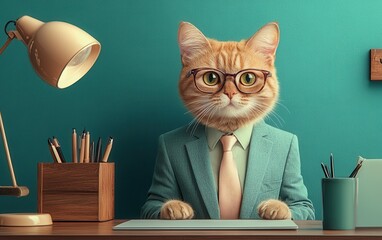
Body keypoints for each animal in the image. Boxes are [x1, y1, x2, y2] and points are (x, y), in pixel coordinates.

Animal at [142, 21, 314, 220]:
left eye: (248, 78)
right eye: (211, 78)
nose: (230, 93)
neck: (229, 132)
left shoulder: (301, 201)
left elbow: (300, 203)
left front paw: (276, 208)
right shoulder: (154, 198)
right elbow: (156, 201)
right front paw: (174, 207)